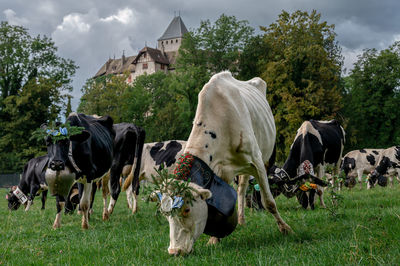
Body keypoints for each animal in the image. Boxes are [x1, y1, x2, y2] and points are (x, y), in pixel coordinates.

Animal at [155, 71, 290, 256]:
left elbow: (268, 202)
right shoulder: (218, 171)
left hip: (265, 156)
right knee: (241, 188)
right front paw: (214, 239)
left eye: (186, 209)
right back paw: (241, 219)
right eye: (164, 213)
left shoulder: (257, 160)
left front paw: (285, 228)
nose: (174, 251)